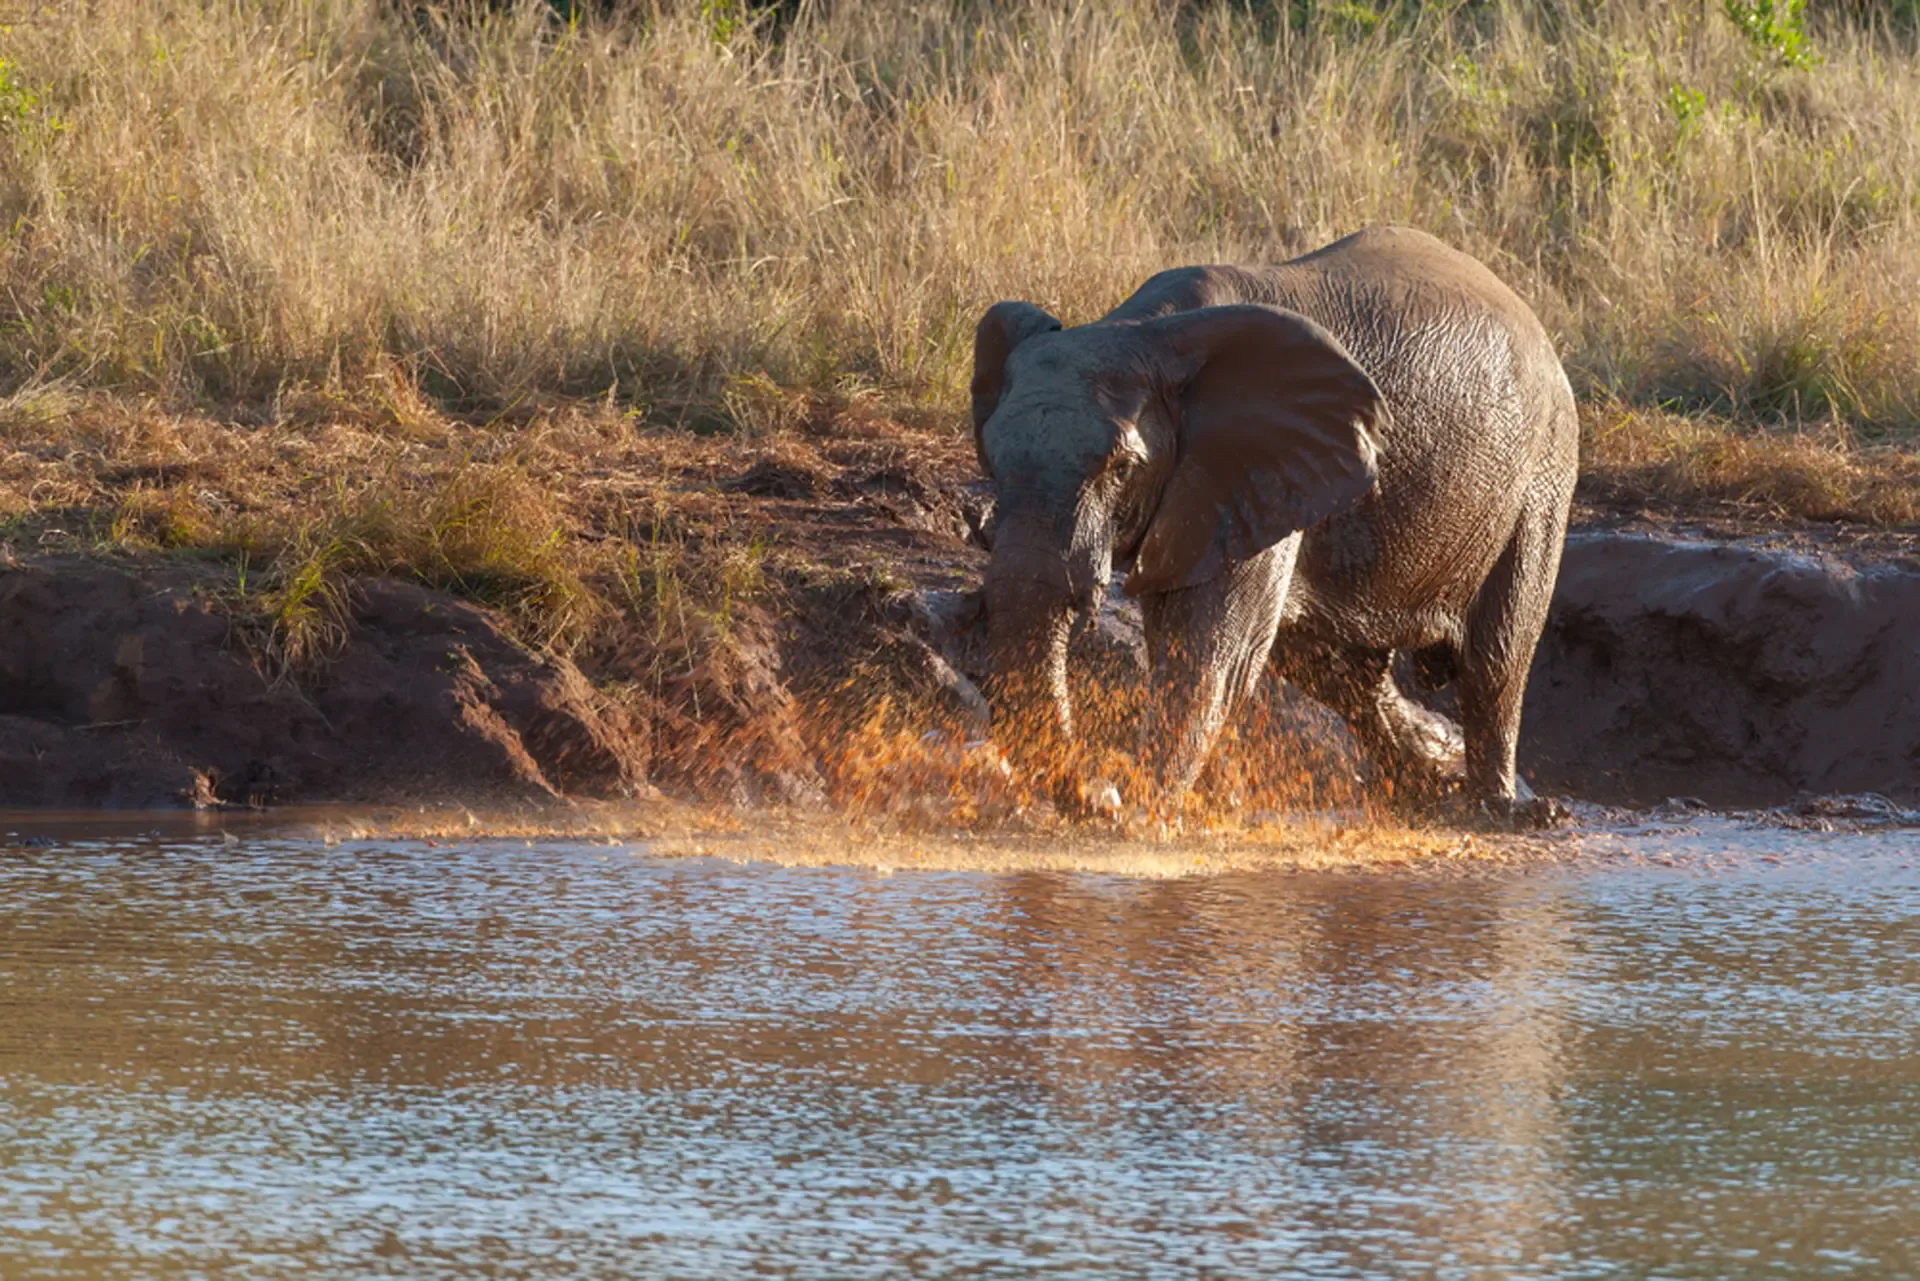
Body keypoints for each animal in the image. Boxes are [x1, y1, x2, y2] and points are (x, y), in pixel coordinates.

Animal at [970, 226, 1577, 822]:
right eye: (993, 462)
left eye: (1120, 469)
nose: (1100, 790)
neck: (1141, 331)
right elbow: (1188, 641)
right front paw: (1209, 805)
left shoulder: (1252, 466)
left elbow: (1215, 650)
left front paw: (1144, 813)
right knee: (1335, 671)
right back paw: (1420, 792)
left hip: (1542, 471)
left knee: (1496, 660)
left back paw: (1510, 810)